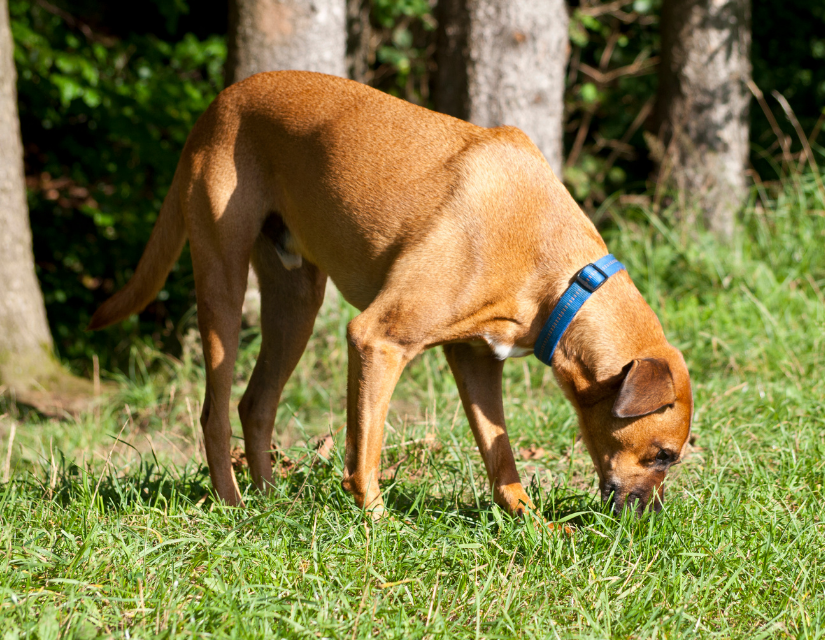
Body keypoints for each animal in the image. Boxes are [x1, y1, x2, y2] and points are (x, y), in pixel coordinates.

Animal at [90, 71, 688, 520]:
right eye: (664, 454)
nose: (651, 519)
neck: (557, 271)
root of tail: (218, 103)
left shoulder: (474, 358)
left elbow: (500, 455)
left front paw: (531, 523)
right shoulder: (378, 340)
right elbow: (366, 452)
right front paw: (377, 523)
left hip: (295, 303)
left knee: (255, 404)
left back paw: (268, 502)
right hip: (222, 288)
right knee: (215, 412)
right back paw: (234, 506)